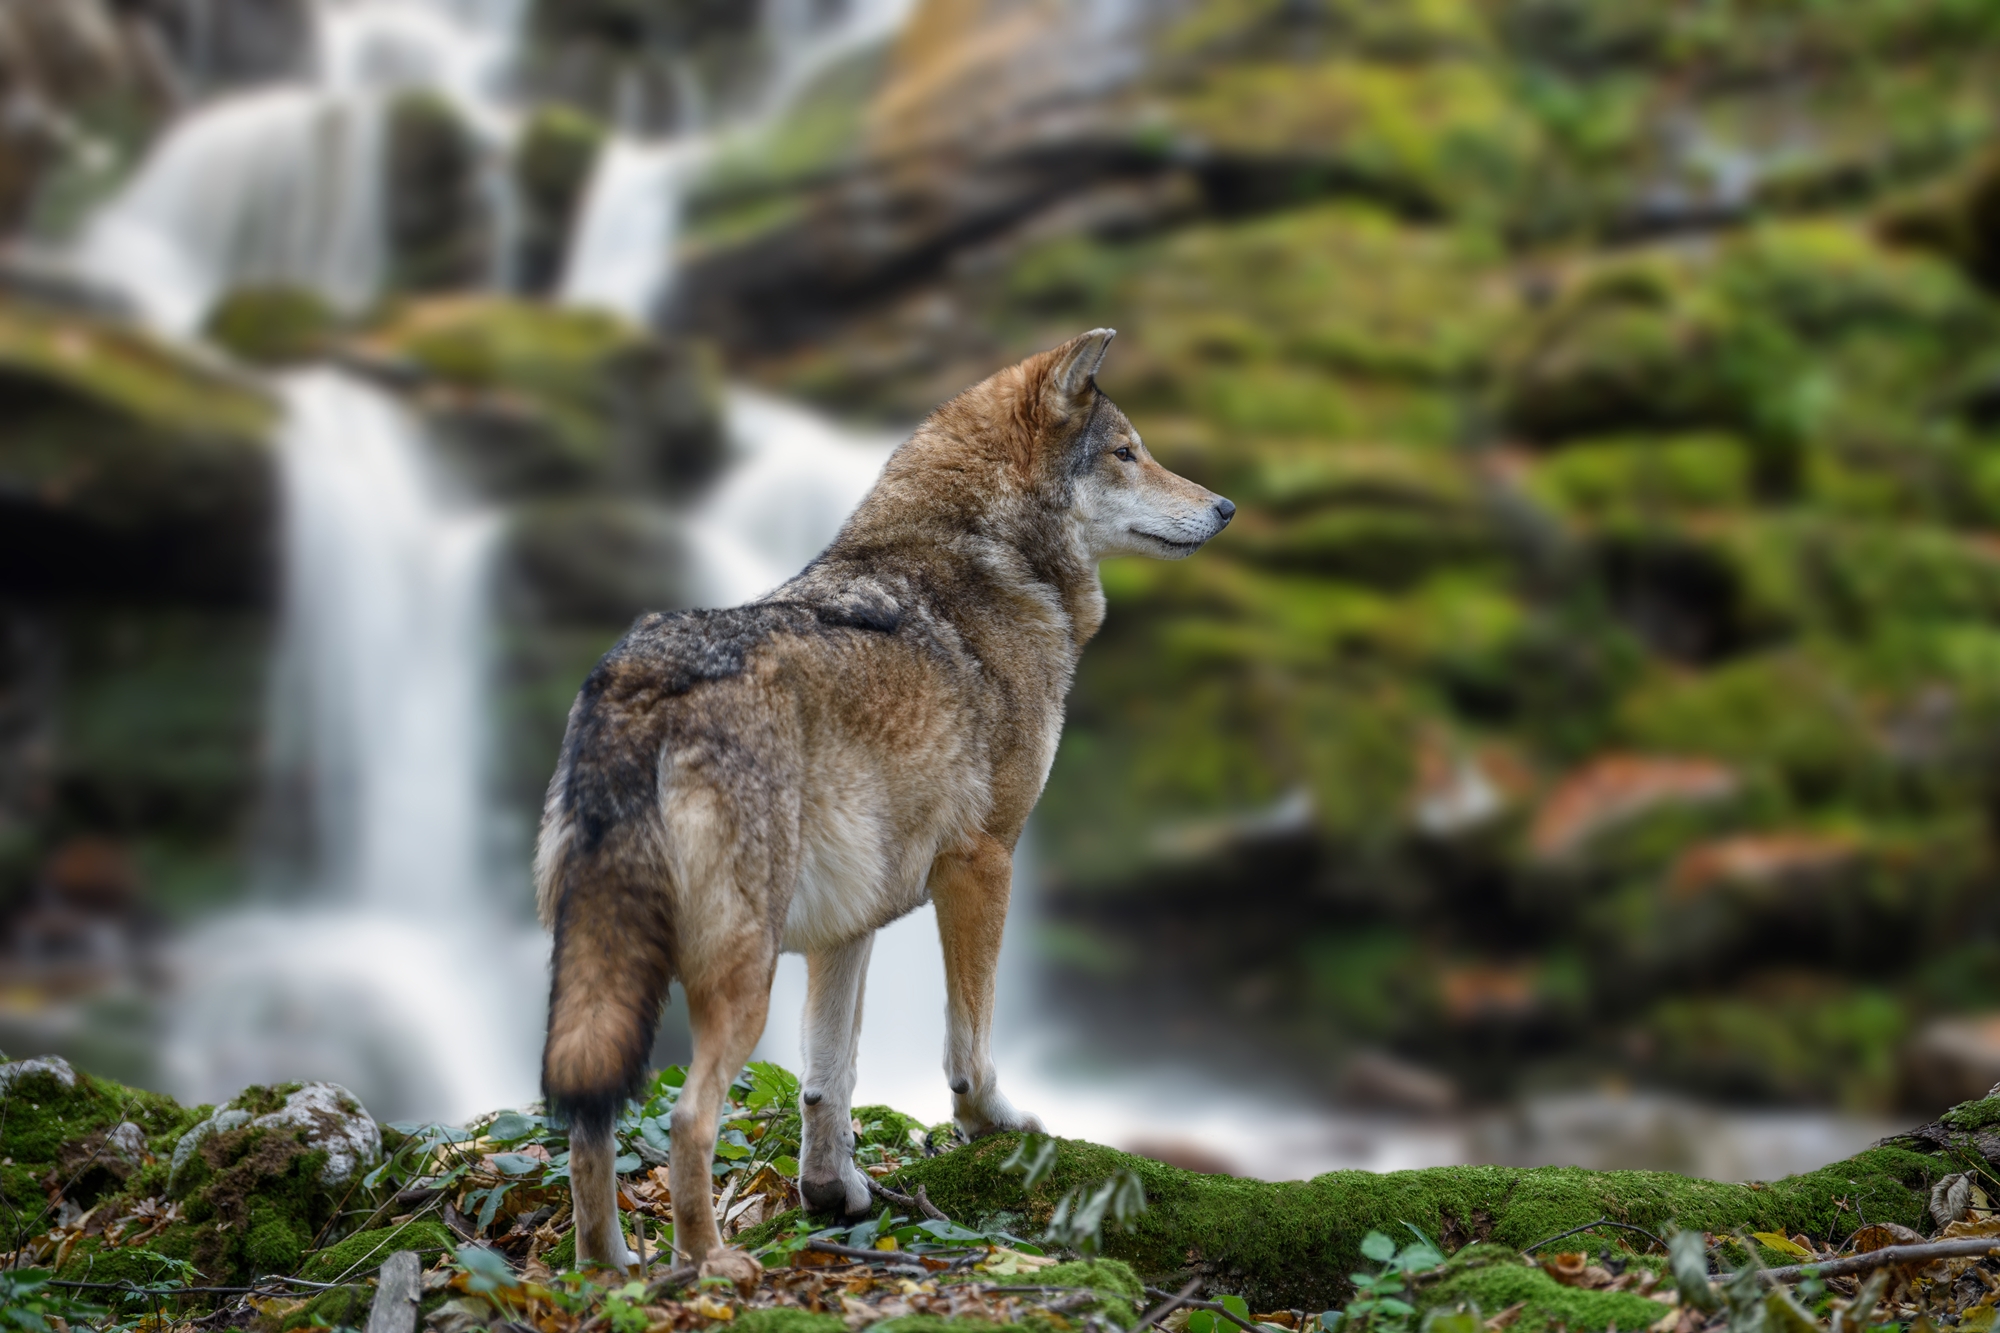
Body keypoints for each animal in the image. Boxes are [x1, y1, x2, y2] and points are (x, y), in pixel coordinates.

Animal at [533, 329, 1234, 1283]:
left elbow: (829, 1078)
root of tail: (641, 682)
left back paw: (608, 1269)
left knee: (588, 1122)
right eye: (1127, 452)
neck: (985, 560)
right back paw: (711, 1264)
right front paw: (993, 1124)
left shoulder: (848, 923)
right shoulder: (983, 861)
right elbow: (969, 1040)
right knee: (685, 1117)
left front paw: (833, 1192)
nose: (1226, 506)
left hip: (608, 970)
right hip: (739, 974)